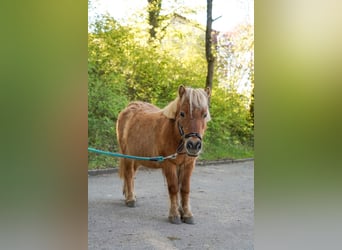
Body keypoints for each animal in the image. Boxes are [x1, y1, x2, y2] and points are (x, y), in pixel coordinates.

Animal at [116, 85, 210, 224]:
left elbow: (184, 188)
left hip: (137, 157)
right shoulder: (169, 164)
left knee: (132, 175)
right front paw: (174, 215)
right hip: (127, 155)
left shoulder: (188, 164)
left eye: (204, 114)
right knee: (128, 174)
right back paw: (130, 199)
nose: (193, 145)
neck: (174, 134)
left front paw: (186, 214)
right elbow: (174, 188)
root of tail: (129, 107)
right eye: (182, 113)